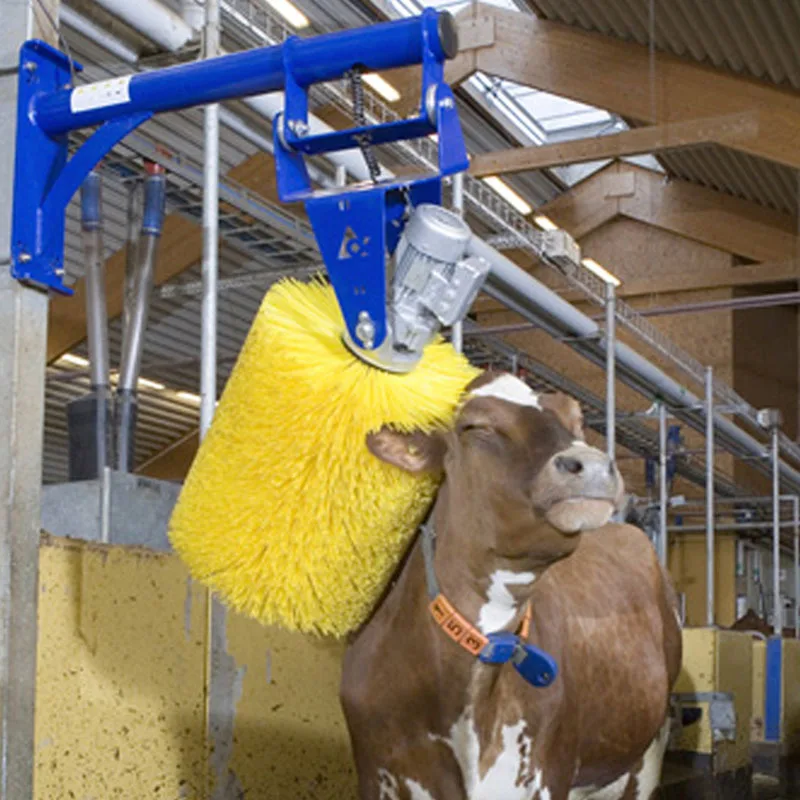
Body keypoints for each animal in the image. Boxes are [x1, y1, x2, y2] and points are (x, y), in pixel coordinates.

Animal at [340, 372, 683, 800]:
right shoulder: (376, 772)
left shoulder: (547, 770)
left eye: (575, 419)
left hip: (649, 750)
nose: (591, 465)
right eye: (474, 426)